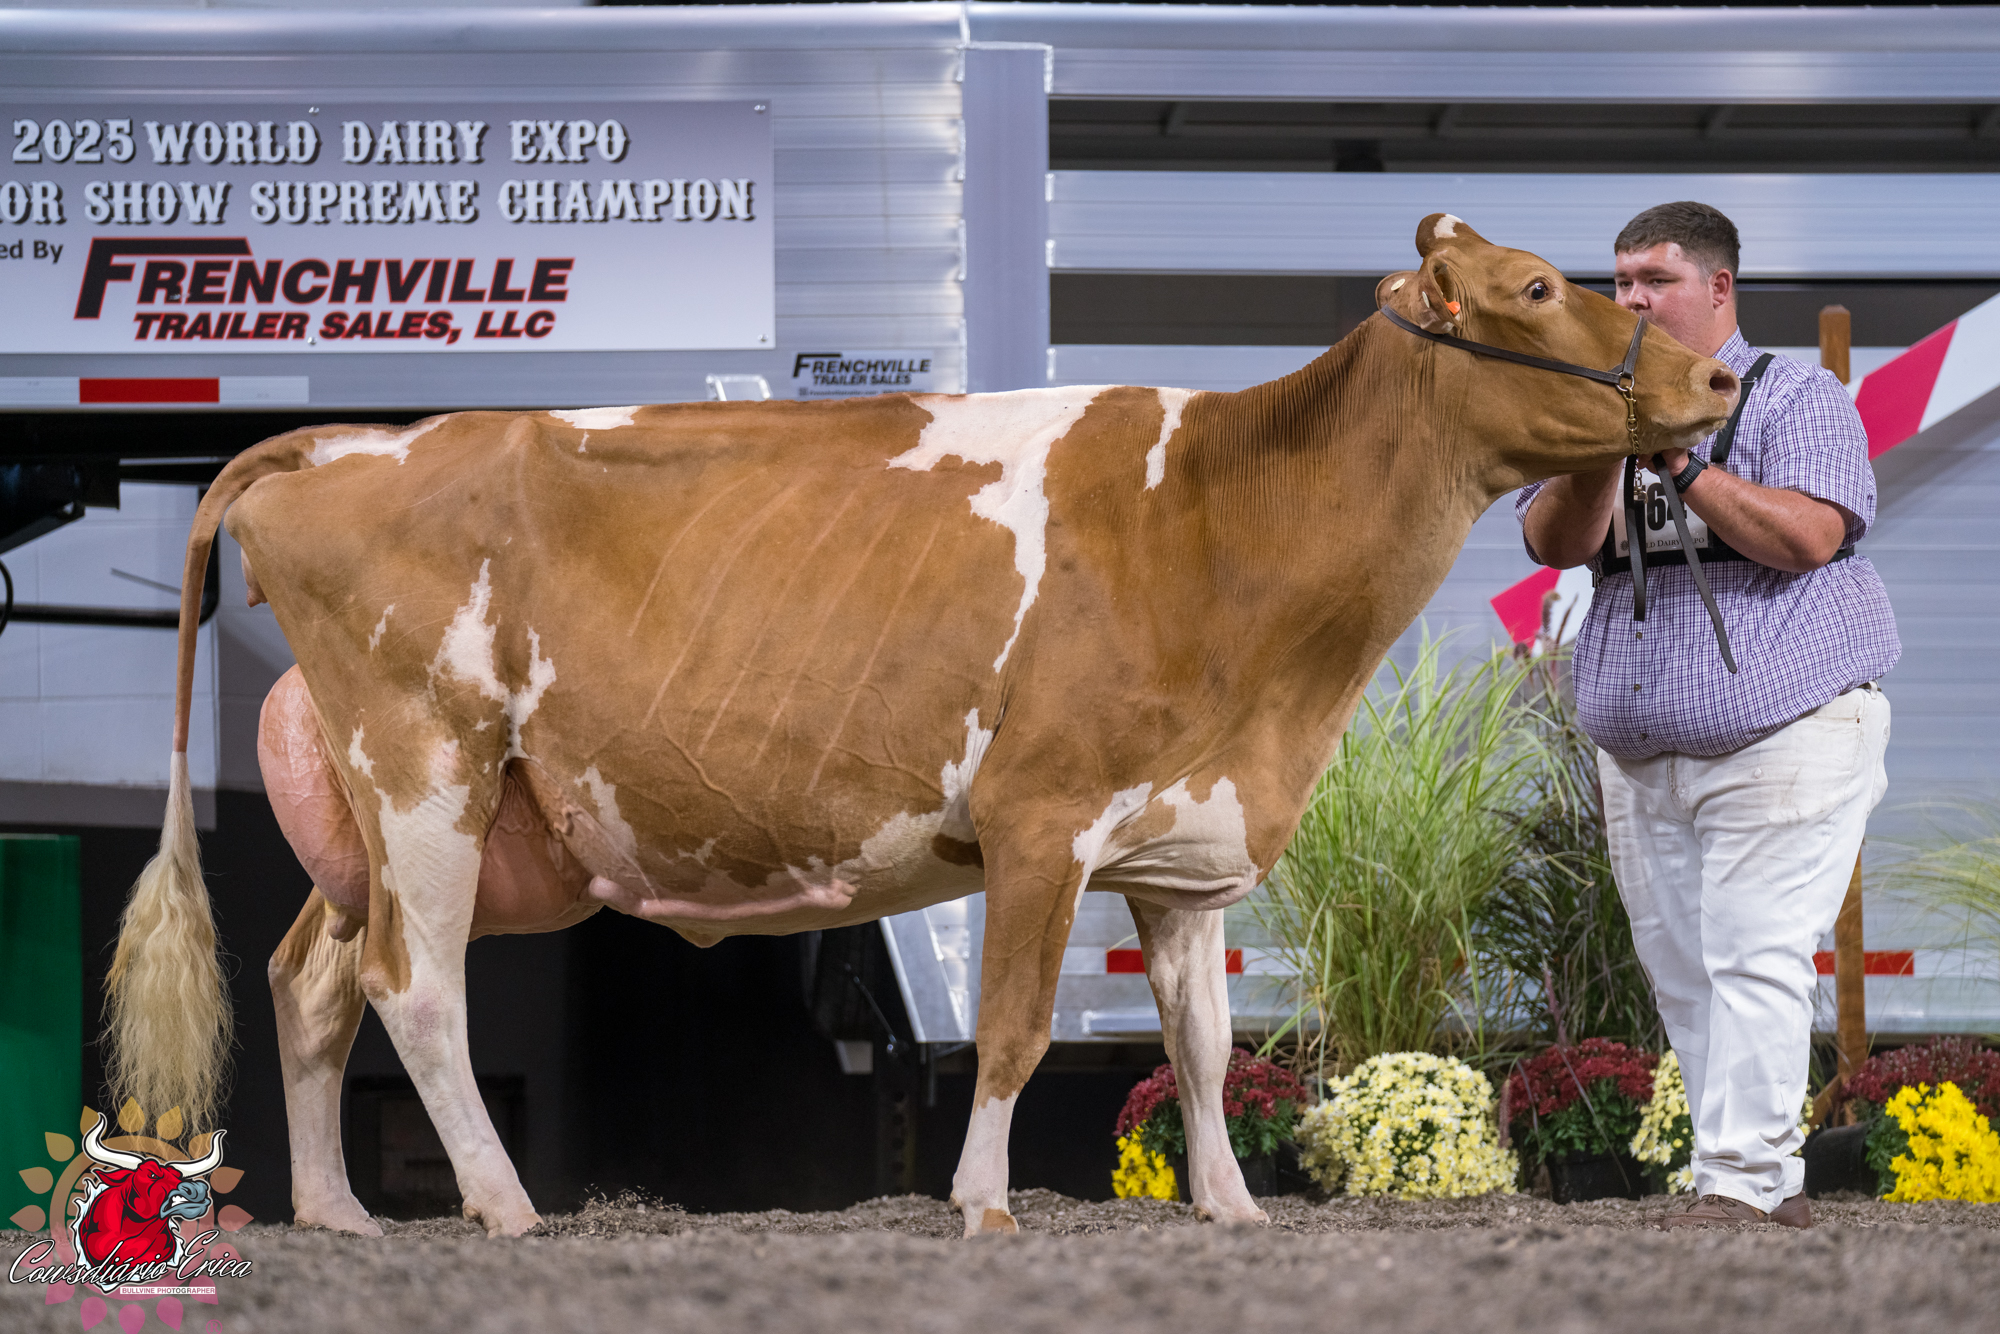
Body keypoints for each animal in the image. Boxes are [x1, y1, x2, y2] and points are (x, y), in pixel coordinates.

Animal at [105, 215, 1737, 1239]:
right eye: (1536, 289)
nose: (1718, 373)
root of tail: (348, 441)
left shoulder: (1185, 842)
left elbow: (1207, 1044)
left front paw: (1230, 1203)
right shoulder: (1039, 814)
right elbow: (1014, 1027)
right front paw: (984, 1198)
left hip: (378, 809)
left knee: (312, 977)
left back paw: (338, 1208)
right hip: (427, 763)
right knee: (413, 983)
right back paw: (503, 1205)